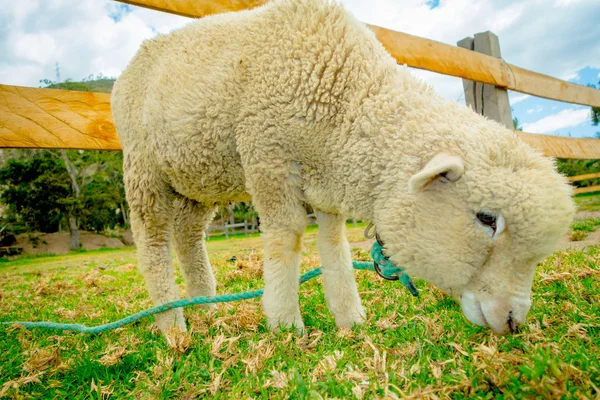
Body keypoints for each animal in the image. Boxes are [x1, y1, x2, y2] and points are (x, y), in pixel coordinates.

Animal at [110, 0, 576, 338]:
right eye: (486, 219)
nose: (514, 323)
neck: (348, 97)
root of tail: (131, 63)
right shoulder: (267, 153)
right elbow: (286, 236)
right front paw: (285, 324)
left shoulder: (325, 179)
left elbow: (334, 245)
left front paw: (350, 318)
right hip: (143, 165)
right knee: (152, 241)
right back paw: (172, 323)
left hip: (196, 177)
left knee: (189, 236)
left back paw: (203, 304)